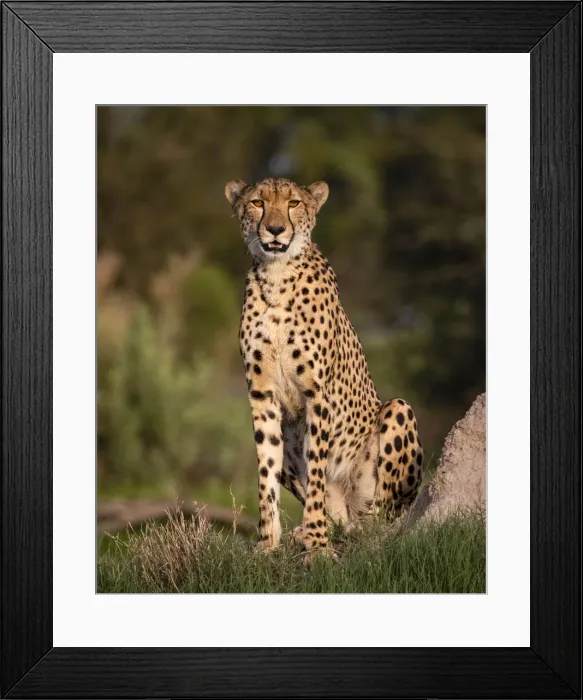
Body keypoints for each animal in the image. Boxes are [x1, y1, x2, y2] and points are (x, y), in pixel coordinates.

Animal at [225, 176, 423, 553]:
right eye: (257, 203)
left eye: (293, 203)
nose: (275, 229)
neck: (277, 276)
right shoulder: (262, 396)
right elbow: (266, 472)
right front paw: (268, 544)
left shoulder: (316, 394)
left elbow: (317, 468)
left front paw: (317, 545)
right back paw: (309, 530)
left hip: (397, 412)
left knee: (383, 519)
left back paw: (356, 530)